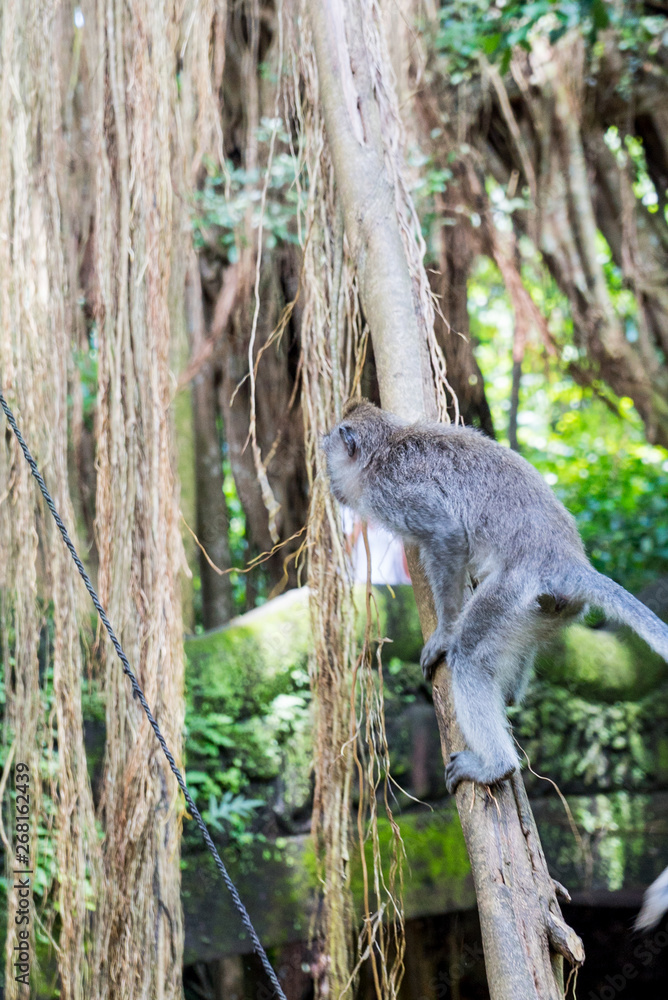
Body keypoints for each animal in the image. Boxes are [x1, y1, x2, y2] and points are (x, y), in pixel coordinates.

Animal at [322, 400, 668, 927]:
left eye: (329, 456)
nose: (328, 483)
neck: (387, 447)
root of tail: (566, 561)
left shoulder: (394, 493)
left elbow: (445, 537)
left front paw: (444, 632)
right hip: (543, 611)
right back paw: (509, 693)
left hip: (516, 592)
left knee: (470, 656)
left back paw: (494, 765)